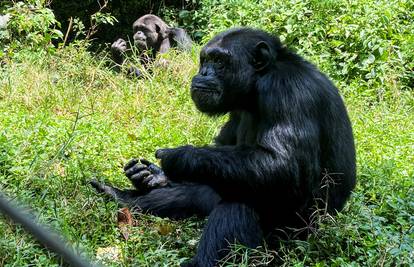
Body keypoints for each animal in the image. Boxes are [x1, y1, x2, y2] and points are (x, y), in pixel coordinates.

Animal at [90, 27, 356, 267]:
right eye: (205, 59)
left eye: (219, 61)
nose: (204, 72)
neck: (256, 85)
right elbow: (223, 145)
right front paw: (152, 175)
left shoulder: (287, 91)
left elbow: (283, 164)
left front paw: (179, 157)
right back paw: (123, 197)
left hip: (293, 237)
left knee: (240, 204)